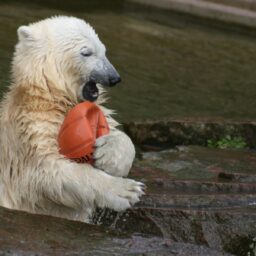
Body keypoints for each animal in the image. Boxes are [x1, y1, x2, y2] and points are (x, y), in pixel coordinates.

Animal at [0, 16, 144, 222]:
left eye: (103, 50)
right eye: (86, 52)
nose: (114, 77)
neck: (51, 97)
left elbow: (118, 134)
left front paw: (108, 155)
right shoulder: (30, 133)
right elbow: (50, 173)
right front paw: (127, 191)